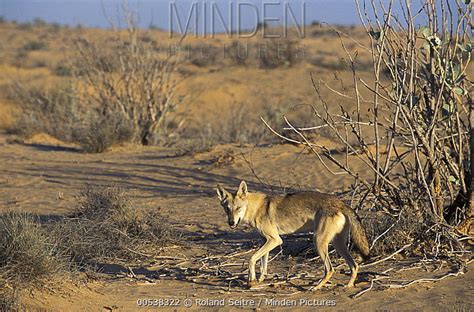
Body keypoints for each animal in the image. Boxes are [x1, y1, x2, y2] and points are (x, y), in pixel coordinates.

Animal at [218, 182, 370, 288]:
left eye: (238, 208)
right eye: (227, 209)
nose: (231, 222)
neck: (256, 208)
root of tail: (341, 203)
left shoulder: (275, 240)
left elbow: (251, 259)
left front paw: (252, 279)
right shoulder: (265, 241)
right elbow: (262, 264)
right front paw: (260, 280)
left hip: (319, 242)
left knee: (330, 269)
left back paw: (316, 287)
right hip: (337, 244)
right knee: (354, 265)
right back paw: (348, 286)